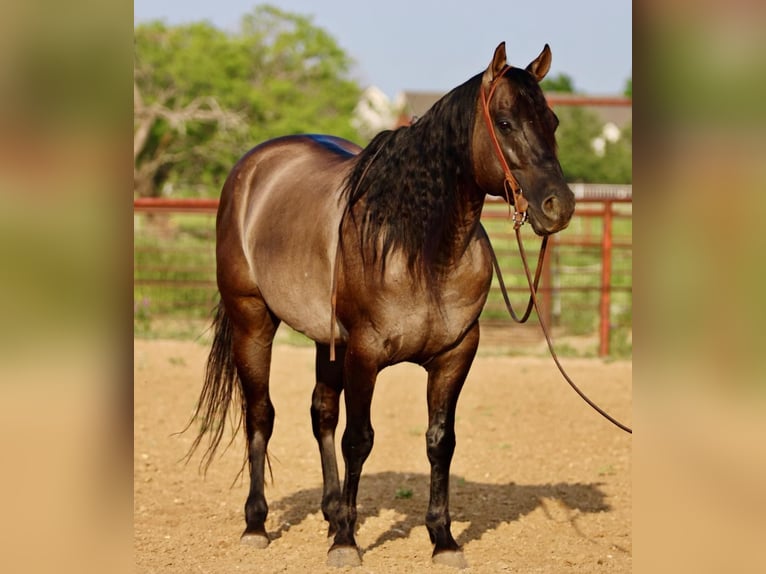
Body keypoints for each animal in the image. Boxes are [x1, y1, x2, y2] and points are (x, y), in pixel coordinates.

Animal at [187, 42, 575, 568]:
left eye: (552, 120)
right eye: (506, 122)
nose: (559, 206)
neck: (422, 248)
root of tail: (251, 169)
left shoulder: (455, 355)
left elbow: (440, 441)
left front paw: (442, 539)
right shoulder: (364, 354)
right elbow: (359, 439)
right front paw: (347, 543)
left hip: (325, 340)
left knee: (321, 413)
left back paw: (332, 512)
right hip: (253, 322)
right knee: (261, 414)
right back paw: (257, 524)